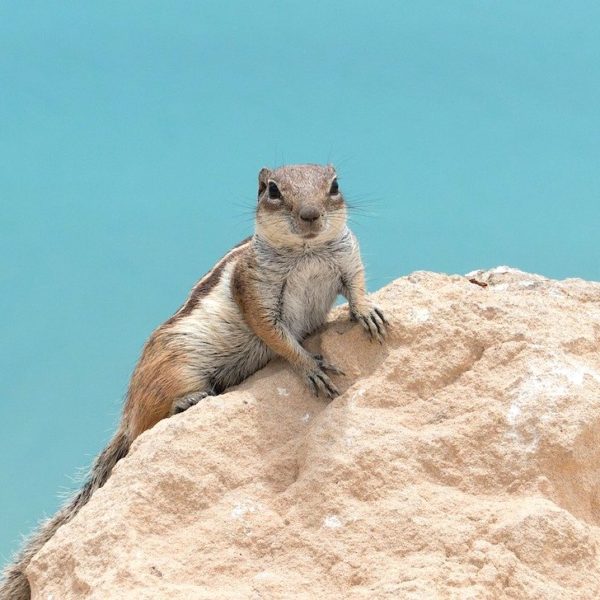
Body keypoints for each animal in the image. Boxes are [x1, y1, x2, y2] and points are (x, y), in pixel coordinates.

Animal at [2, 164, 386, 600]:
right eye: (272, 191)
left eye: (334, 185)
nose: (309, 215)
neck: (307, 252)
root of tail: (126, 416)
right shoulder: (254, 293)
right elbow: (275, 335)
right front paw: (309, 367)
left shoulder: (348, 260)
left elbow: (356, 286)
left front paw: (367, 310)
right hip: (176, 367)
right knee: (149, 424)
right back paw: (186, 402)